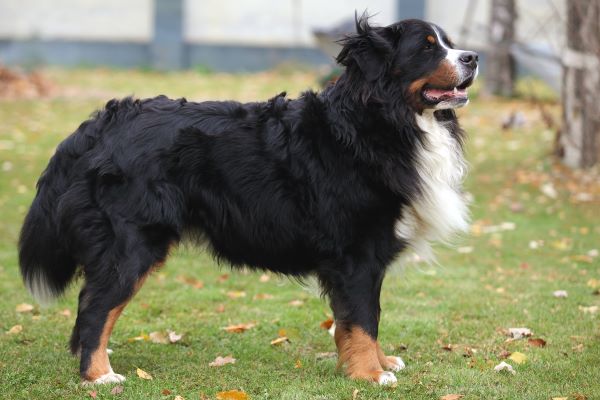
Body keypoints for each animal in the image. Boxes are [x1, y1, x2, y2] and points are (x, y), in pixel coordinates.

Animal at [19, 14, 478, 384]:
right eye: (426, 47)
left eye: (450, 42)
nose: (473, 57)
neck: (378, 121)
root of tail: (101, 123)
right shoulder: (357, 253)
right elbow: (363, 319)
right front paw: (370, 374)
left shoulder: (369, 256)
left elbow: (363, 320)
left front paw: (378, 364)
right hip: (131, 243)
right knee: (95, 307)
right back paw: (99, 375)